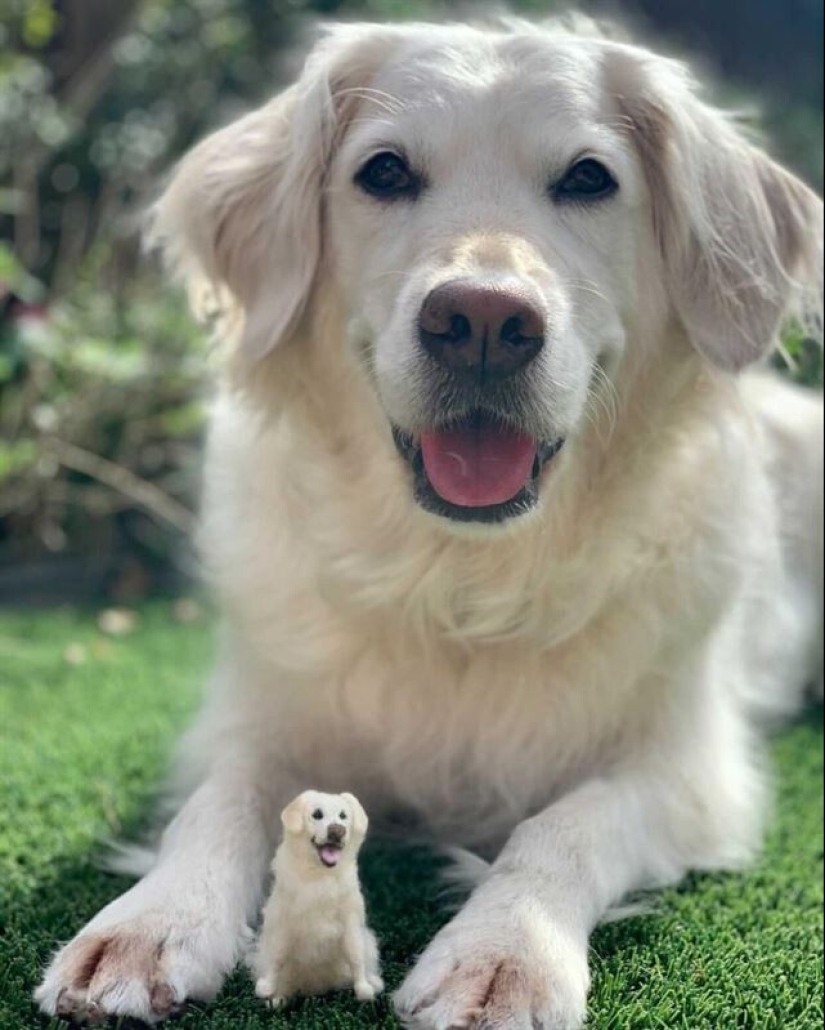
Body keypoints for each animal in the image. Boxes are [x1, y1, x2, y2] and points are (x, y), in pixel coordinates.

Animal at [251, 786, 383, 1005]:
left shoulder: (350, 923)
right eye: (317, 815)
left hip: (368, 941)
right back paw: (278, 997)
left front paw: (363, 988)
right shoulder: (284, 923)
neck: (320, 876)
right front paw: (268, 988)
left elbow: (355, 955)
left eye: (343, 816)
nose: (337, 830)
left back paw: (373, 981)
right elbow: (278, 956)